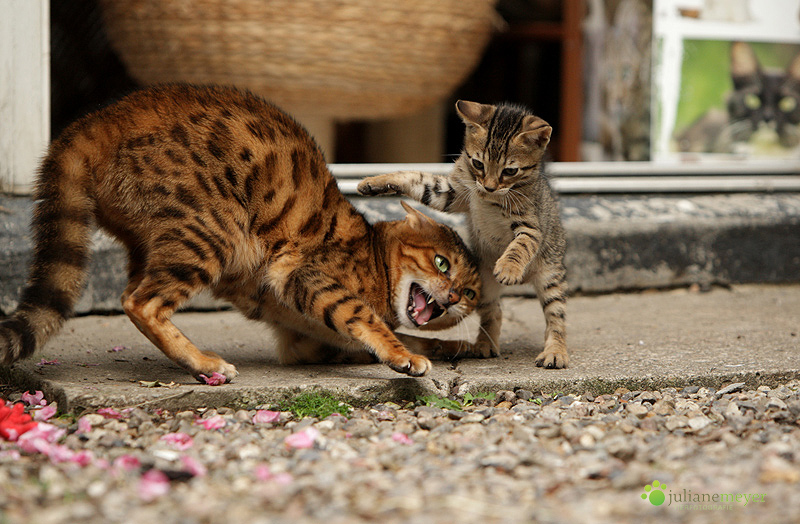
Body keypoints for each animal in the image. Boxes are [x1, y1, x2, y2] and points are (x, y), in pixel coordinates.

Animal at [0, 85, 478, 380]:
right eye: (442, 264)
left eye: (472, 293)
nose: (454, 295)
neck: (374, 258)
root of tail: (101, 120)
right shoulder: (312, 279)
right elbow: (371, 321)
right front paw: (405, 357)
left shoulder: (306, 342)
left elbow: (408, 332)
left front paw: (457, 346)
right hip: (213, 232)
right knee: (140, 302)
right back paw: (205, 363)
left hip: (154, 242)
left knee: (136, 292)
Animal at [356, 99, 568, 368]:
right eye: (478, 164)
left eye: (510, 171)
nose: (489, 186)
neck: (490, 199)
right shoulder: (450, 193)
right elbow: (415, 178)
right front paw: (374, 182)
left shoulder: (531, 226)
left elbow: (520, 246)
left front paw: (509, 267)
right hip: (485, 284)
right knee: (494, 311)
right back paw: (485, 344)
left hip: (551, 277)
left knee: (556, 319)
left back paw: (555, 352)